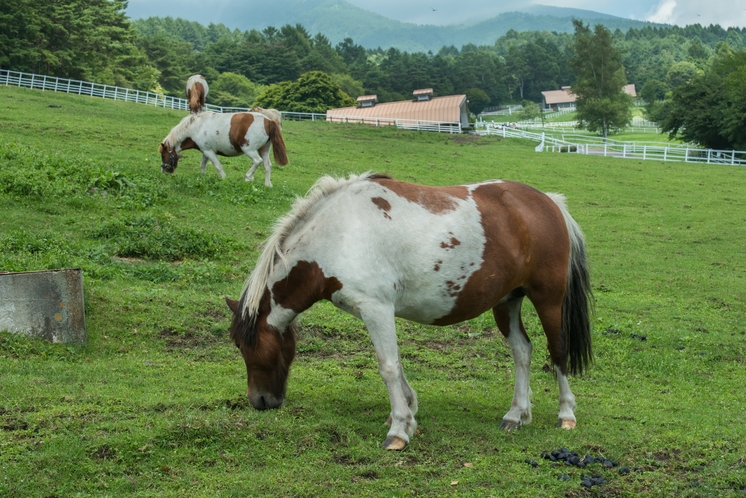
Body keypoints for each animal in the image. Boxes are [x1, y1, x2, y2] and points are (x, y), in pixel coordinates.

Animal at [160, 111, 288, 187]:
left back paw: (248, 177)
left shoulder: (209, 151)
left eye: (163, 155)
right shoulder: (205, 151)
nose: (164, 172)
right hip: (264, 150)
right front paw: (202, 177)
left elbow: (218, 166)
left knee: (257, 161)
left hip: (249, 150)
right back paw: (268, 184)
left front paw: (223, 178)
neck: (197, 127)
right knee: (267, 165)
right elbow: (202, 165)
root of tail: (268, 121)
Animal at [224, 173, 588, 450]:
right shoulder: (377, 313)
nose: (259, 401)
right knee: (522, 351)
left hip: (548, 299)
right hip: (508, 301)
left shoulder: (376, 309)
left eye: (245, 346)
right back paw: (517, 414)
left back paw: (566, 415)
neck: (339, 234)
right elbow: (396, 365)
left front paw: (399, 429)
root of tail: (549, 202)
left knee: (557, 351)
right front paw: (409, 411)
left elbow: (387, 367)